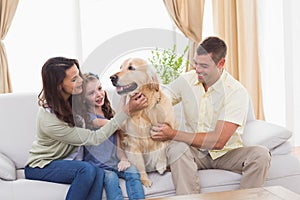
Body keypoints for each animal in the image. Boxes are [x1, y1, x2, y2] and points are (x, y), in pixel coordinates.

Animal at [109, 57, 176, 188]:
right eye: (120, 67)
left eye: (131, 67)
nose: (112, 78)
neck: (146, 108)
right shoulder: (134, 143)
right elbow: (140, 164)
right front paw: (145, 180)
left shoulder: (168, 128)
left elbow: (164, 145)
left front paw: (161, 165)